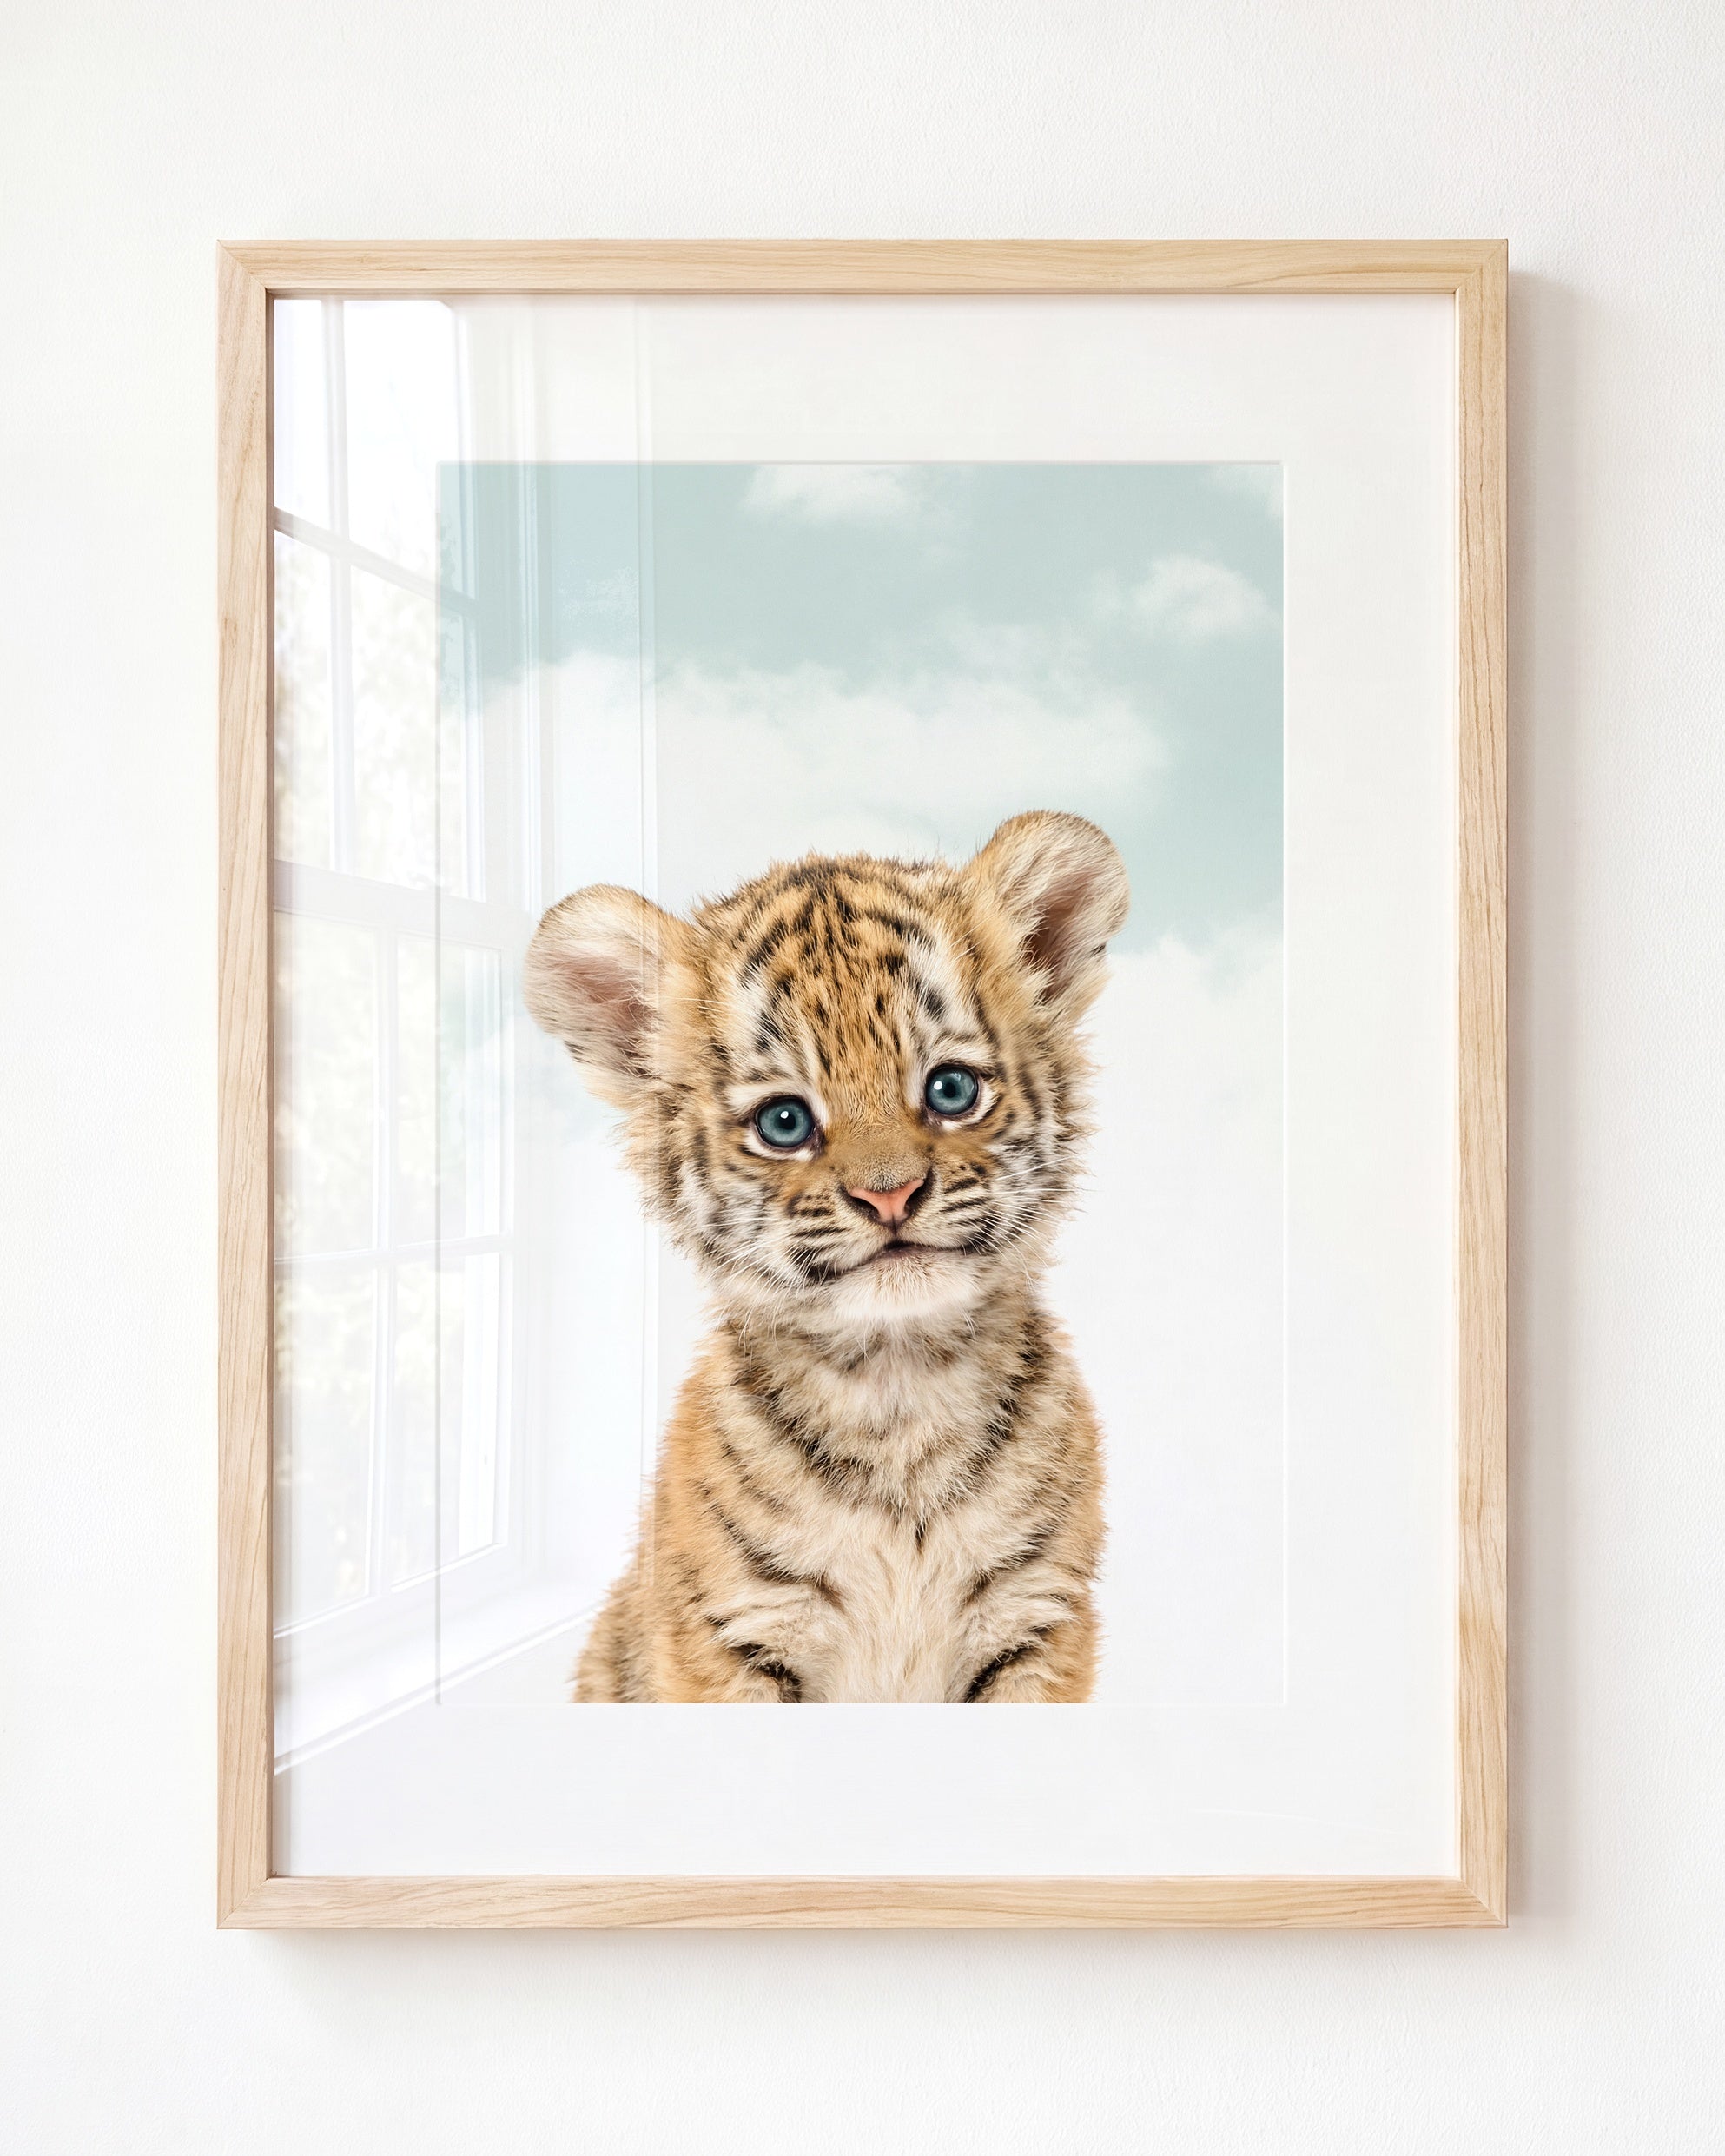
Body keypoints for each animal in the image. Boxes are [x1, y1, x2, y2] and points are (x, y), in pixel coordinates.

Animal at [523, 809, 1129, 1703]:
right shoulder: (732, 1635)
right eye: (784, 1122)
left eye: (951, 1090)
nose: (890, 1195)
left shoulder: (1037, 1619)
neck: (900, 1390)